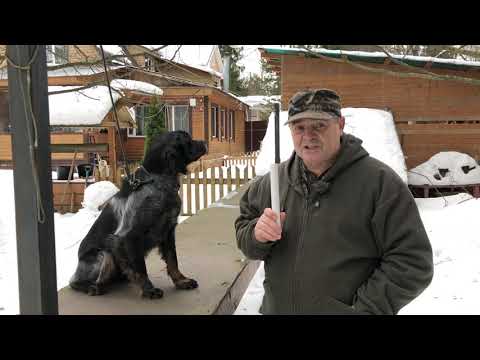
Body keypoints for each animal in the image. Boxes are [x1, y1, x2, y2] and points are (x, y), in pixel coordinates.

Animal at [69, 131, 206, 300]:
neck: (158, 182)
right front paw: (149, 290)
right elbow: (140, 267)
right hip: (104, 254)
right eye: (187, 139)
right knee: (75, 282)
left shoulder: (168, 230)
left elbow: (173, 260)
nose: (205, 142)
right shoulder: (128, 236)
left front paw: (181, 281)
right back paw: (92, 287)